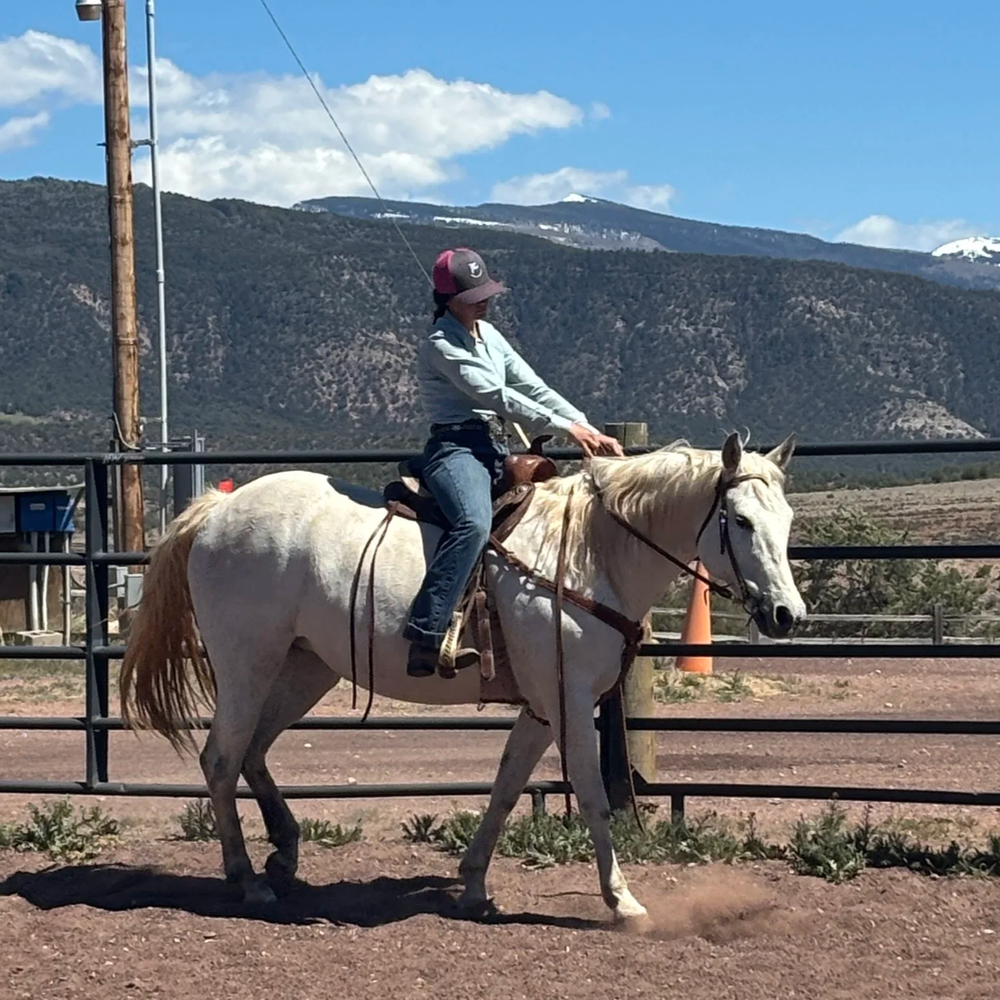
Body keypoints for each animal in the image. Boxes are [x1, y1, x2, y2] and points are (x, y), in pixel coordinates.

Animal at [119, 431, 805, 928]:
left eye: (789, 520)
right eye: (741, 521)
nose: (786, 614)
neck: (592, 555)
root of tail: (218, 510)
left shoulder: (540, 707)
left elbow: (505, 789)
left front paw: (473, 886)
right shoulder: (569, 699)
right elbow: (590, 795)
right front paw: (623, 901)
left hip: (302, 667)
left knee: (253, 752)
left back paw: (283, 852)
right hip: (247, 663)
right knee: (221, 758)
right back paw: (249, 880)